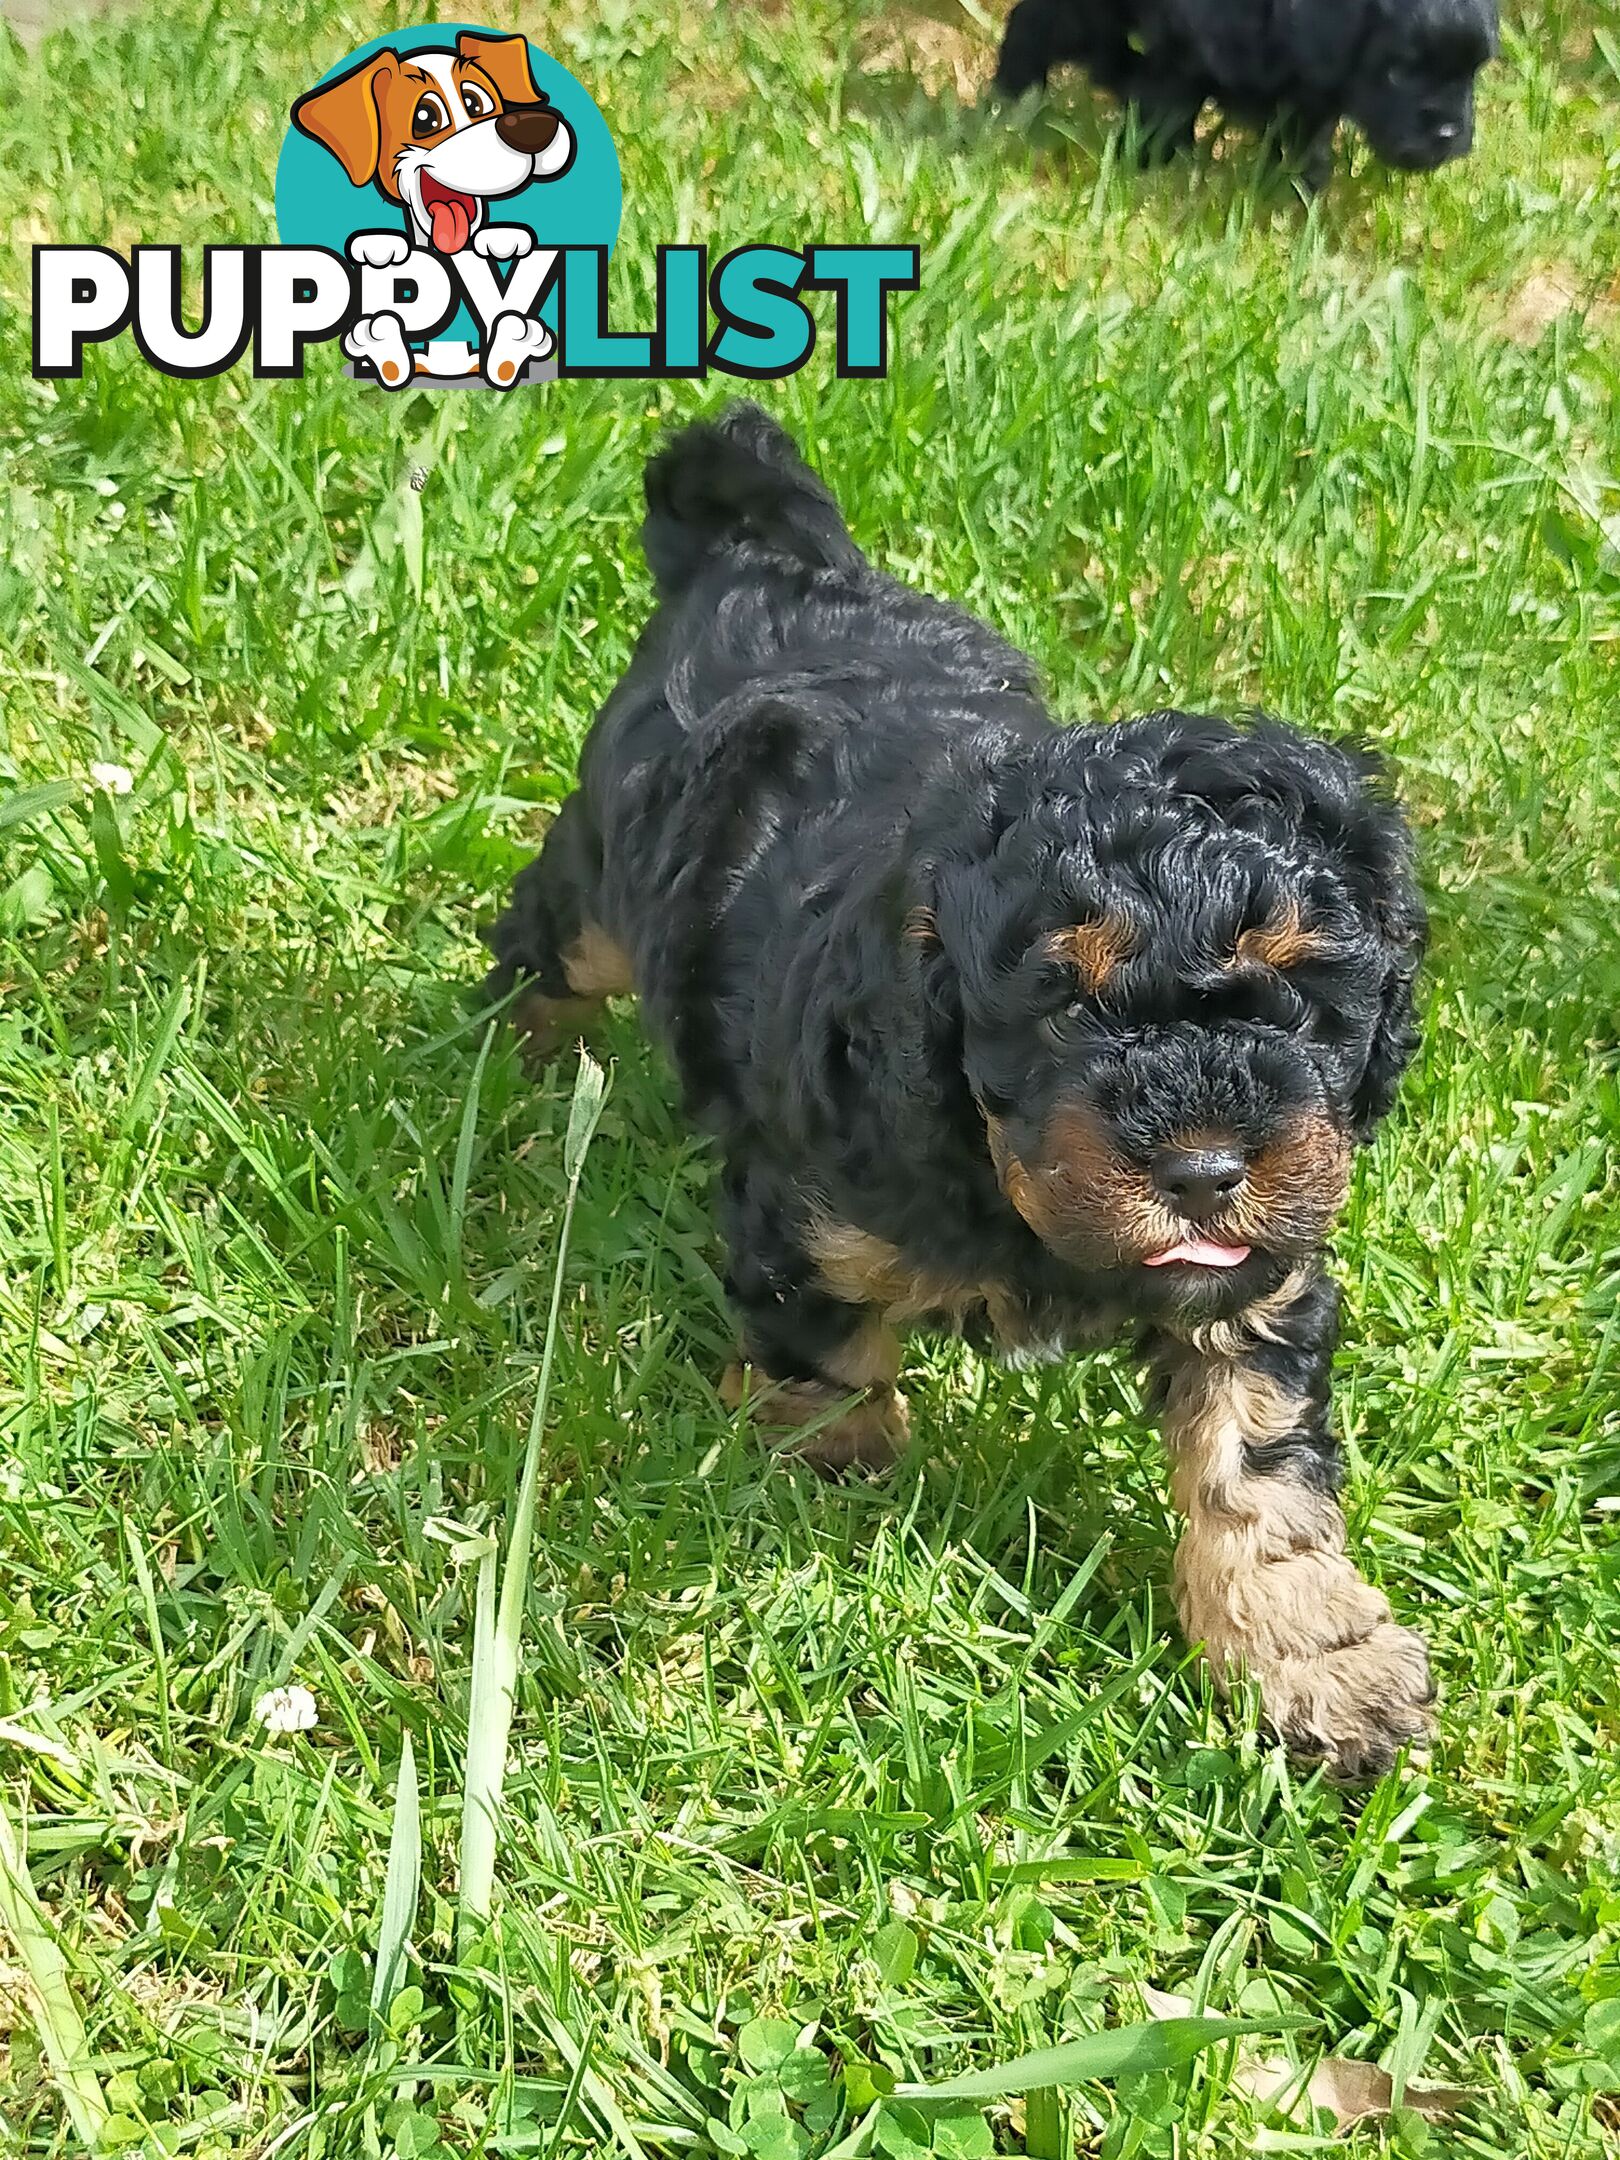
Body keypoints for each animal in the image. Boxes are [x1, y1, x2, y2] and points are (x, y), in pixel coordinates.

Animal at [488, 401, 1442, 1771]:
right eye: (1060, 1003)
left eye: (1302, 989)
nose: (1204, 1172)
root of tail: (767, 555)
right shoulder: (811, 1213)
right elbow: (824, 1353)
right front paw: (834, 1473)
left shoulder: (1260, 1279)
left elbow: (1257, 1471)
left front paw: (1319, 1665)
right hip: (606, 872)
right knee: (550, 939)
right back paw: (511, 1059)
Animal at [997, 0, 1503, 182]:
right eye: (1399, 72)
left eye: (1474, 71)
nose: (1446, 135)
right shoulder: (1191, 44)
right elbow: (1165, 106)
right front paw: (1150, 169)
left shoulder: (1311, 93)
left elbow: (1305, 143)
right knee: (1037, 25)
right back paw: (1001, 113)